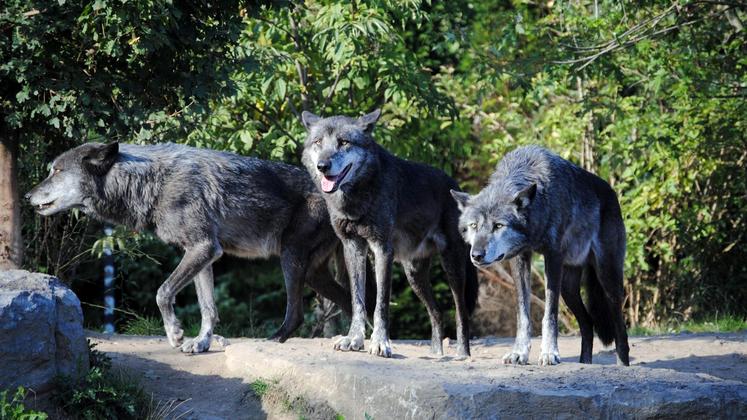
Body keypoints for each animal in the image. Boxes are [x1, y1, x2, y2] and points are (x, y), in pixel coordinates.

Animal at [24, 143, 358, 352]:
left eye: (56, 171)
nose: (27, 196)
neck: (151, 182)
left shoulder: (203, 248)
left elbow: (162, 293)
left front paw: (175, 333)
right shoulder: (203, 255)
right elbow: (208, 308)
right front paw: (201, 343)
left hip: (290, 259)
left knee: (298, 313)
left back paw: (275, 340)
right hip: (314, 274)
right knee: (350, 300)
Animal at [450, 146, 632, 366]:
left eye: (498, 225)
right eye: (474, 226)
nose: (476, 255)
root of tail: (612, 192)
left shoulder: (553, 257)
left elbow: (550, 313)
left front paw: (549, 353)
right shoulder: (519, 258)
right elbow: (523, 314)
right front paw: (519, 353)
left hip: (607, 279)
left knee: (620, 330)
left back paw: (622, 365)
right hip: (569, 289)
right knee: (588, 324)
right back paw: (584, 362)